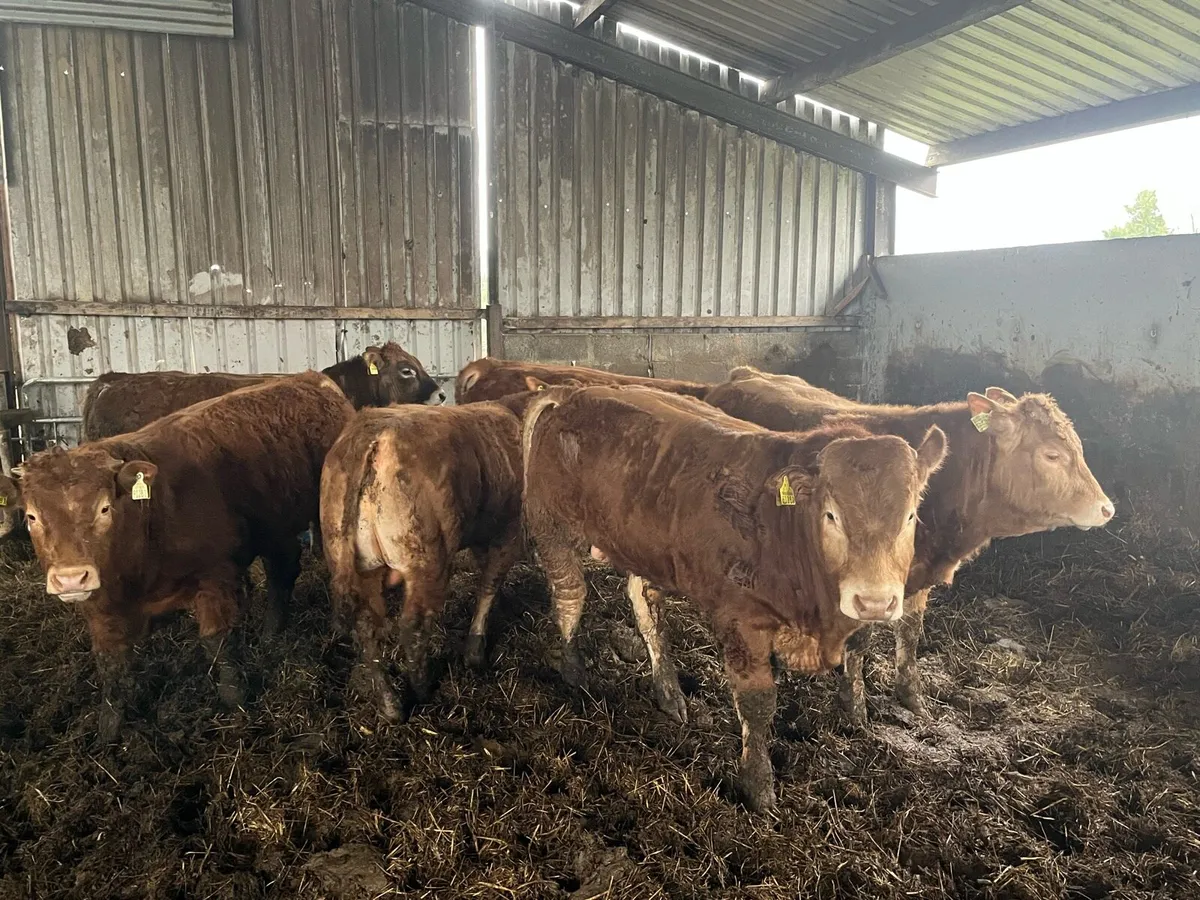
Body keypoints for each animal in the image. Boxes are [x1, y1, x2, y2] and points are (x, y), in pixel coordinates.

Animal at [0, 372, 355, 741]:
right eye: (32, 516)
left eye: (104, 508)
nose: (70, 578)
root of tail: (311, 379)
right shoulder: (101, 605)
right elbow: (110, 665)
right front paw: (108, 732)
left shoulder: (215, 578)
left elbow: (218, 644)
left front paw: (236, 703)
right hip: (275, 525)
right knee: (281, 570)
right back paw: (272, 633)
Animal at [320, 385, 550, 721]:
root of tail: (371, 435)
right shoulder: (506, 534)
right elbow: (488, 586)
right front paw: (474, 652)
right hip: (426, 560)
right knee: (412, 625)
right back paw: (421, 689)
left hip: (354, 561)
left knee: (367, 626)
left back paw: (390, 705)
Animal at [521, 384, 947, 810]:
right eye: (831, 515)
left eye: (910, 516)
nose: (874, 601)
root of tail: (570, 394)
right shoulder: (742, 621)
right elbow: (758, 704)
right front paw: (758, 787)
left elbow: (856, 654)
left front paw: (856, 714)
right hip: (553, 526)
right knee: (570, 596)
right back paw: (574, 672)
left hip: (642, 549)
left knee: (646, 607)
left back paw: (669, 694)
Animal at [705, 369, 1114, 725]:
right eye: (1052, 455)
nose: (1107, 508)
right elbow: (860, 639)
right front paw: (856, 710)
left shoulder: (917, 579)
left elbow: (911, 634)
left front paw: (912, 698)